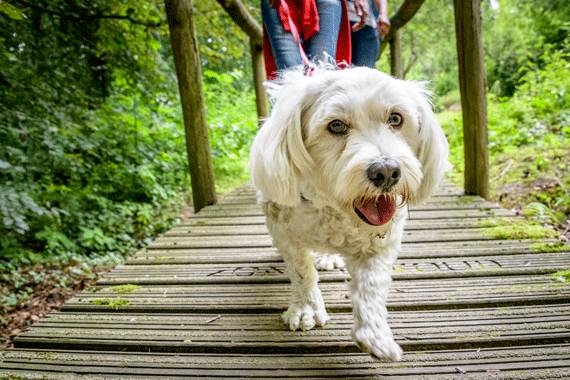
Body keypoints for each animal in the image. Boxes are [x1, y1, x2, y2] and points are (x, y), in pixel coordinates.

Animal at [248, 67, 448, 360]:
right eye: (336, 125)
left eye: (396, 118)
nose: (386, 171)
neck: (334, 208)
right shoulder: (282, 228)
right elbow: (300, 270)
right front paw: (306, 308)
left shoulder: (382, 243)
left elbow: (372, 285)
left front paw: (374, 334)